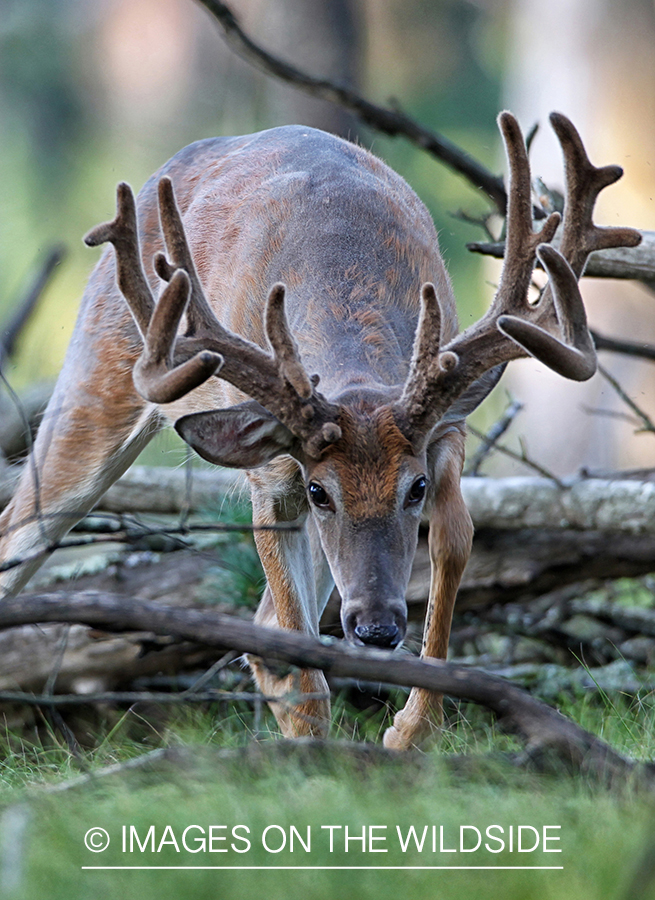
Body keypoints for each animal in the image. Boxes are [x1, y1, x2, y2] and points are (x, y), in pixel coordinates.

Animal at [0, 110, 640, 744]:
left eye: (415, 488)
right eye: (319, 491)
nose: (377, 630)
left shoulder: (447, 432)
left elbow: (455, 540)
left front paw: (412, 731)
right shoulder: (273, 470)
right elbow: (295, 635)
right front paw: (317, 749)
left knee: (262, 629)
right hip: (94, 374)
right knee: (17, 532)